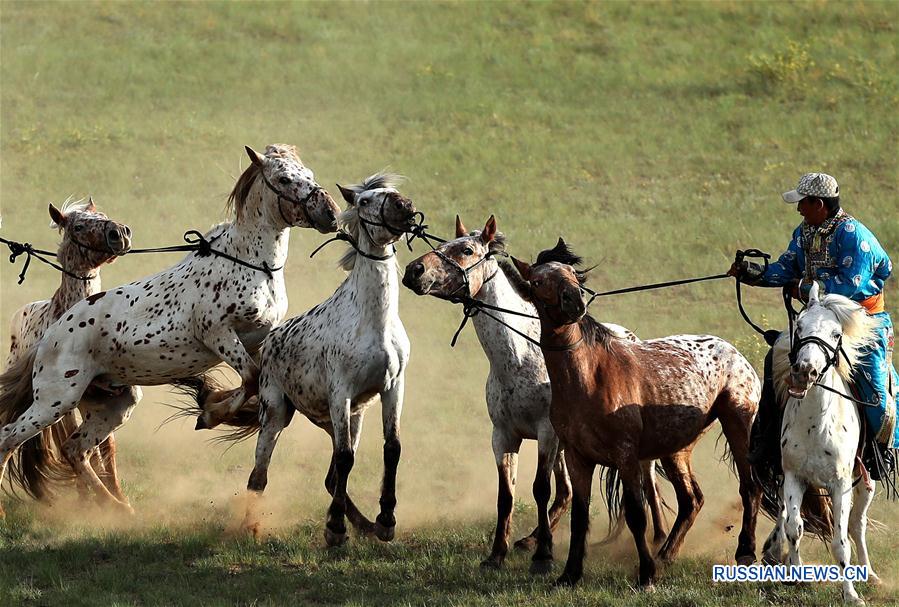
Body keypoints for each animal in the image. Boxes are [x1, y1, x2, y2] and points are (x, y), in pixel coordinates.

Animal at [4, 198, 134, 504]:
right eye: (78, 226)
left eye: (103, 215)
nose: (120, 233)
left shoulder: (99, 398)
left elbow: (105, 447)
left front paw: (116, 496)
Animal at [230, 171, 416, 548]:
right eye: (364, 201)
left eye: (393, 192)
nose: (405, 207)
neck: (374, 321)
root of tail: (271, 340)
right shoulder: (339, 393)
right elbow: (345, 459)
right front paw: (335, 529)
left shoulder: (392, 388)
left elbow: (391, 448)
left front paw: (385, 522)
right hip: (277, 414)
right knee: (259, 477)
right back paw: (251, 527)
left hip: (349, 418)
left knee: (333, 476)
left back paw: (362, 525)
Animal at [510, 241, 764, 588]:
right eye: (537, 281)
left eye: (573, 273)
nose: (574, 301)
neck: (589, 377)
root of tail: (736, 353)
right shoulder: (577, 457)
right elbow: (580, 515)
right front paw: (570, 574)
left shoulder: (626, 456)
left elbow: (635, 514)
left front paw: (646, 574)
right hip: (676, 448)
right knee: (692, 499)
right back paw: (666, 554)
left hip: (740, 426)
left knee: (750, 488)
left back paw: (745, 552)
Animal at [764, 282, 884, 604]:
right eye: (799, 326)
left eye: (835, 333)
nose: (804, 371)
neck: (816, 426)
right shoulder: (794, 477)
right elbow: (794, 527)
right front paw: (796, 576)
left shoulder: (840, 484)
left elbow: (841, 540)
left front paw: (851, 595)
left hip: (865, 482)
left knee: (857, 524)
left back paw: (870, 575)